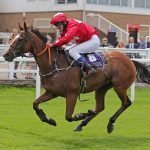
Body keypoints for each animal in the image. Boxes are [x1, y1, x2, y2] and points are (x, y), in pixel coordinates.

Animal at [3, 22, 150, 132]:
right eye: (12, 37)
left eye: (20, 39)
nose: (6, 55)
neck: (55, 64)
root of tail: (130, 60)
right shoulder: (52, 92)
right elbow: (35, 104)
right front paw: (49, 120)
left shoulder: (72, 93)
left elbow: (68, 116)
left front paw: (82, 114)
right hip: (101, 88)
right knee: (100, 107)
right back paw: (82, 124)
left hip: (119, 86)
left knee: (126, 103)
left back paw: (109, 123)